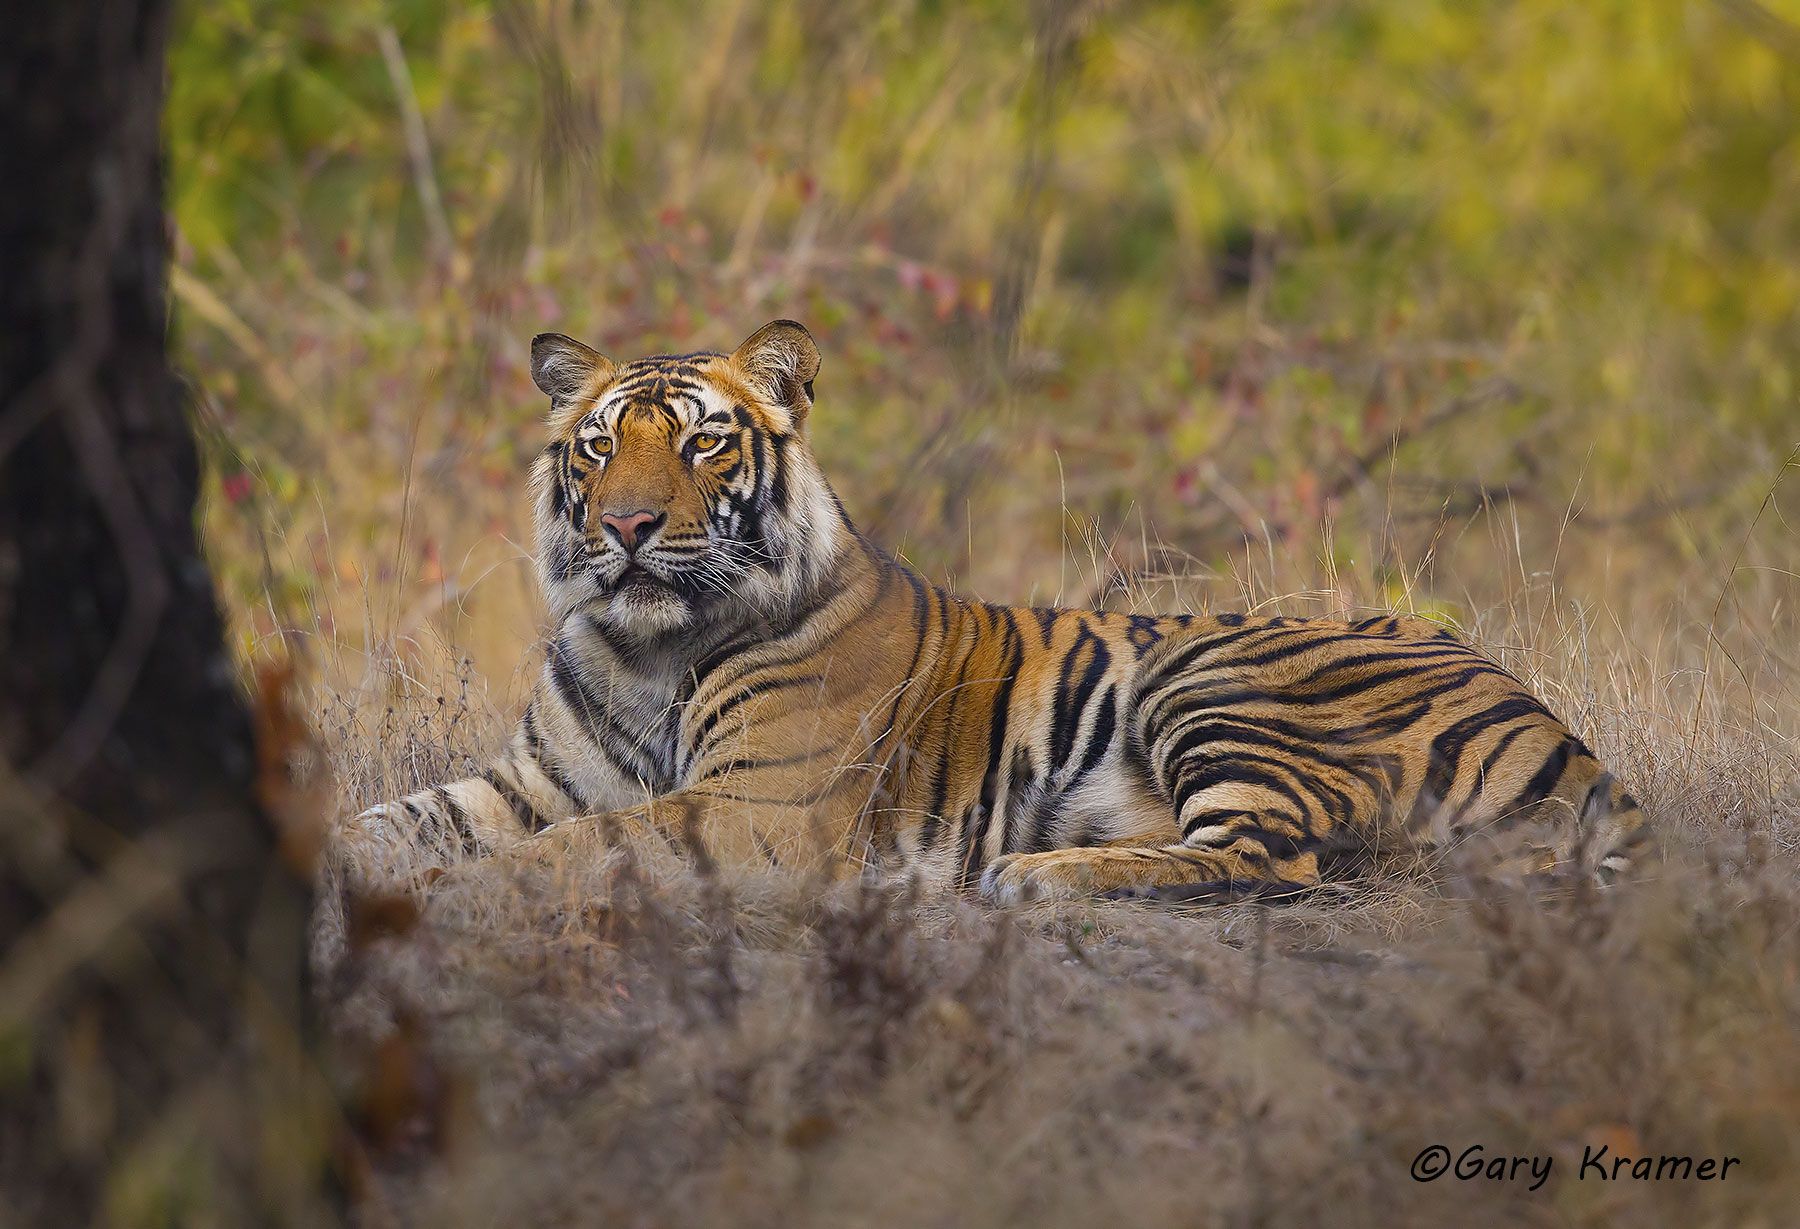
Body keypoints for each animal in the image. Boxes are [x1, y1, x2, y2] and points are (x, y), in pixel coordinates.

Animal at [337, 319, 1650, 905]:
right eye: (601, 446)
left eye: (704, 443)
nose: (625, 526)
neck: (644, 645)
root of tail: (1552, 719)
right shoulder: (528, 779)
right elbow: (396, 819)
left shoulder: (762, 808)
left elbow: (588, 844)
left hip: (1216, 673)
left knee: (1273, 854)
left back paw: (1028, 872)